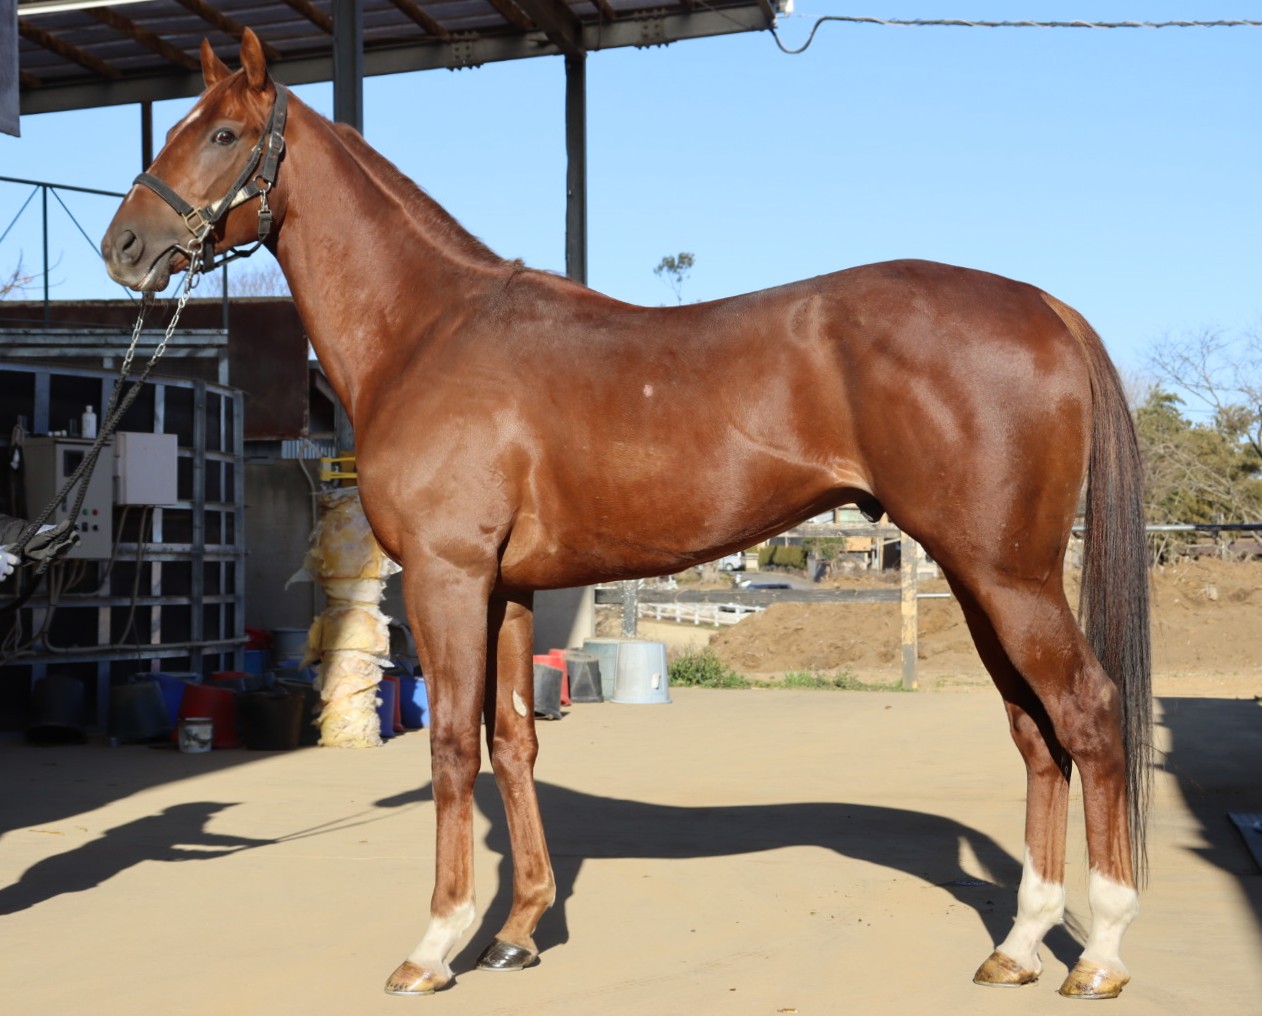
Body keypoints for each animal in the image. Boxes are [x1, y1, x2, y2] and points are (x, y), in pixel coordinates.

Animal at [102, 30, 1151, 1001]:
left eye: (223, 133)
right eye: (180, 125)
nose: (123, 249)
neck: (431, 332)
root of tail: (1045, 307)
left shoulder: (448, 577)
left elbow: (452, 744)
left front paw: (436, 946)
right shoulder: (509, 590)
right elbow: (513, 740)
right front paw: (517, 932)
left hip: (1008, 577)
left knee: (1088, 714)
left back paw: (1100, 952)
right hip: (978, 578)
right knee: (1035, 735)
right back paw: (1019, 946)